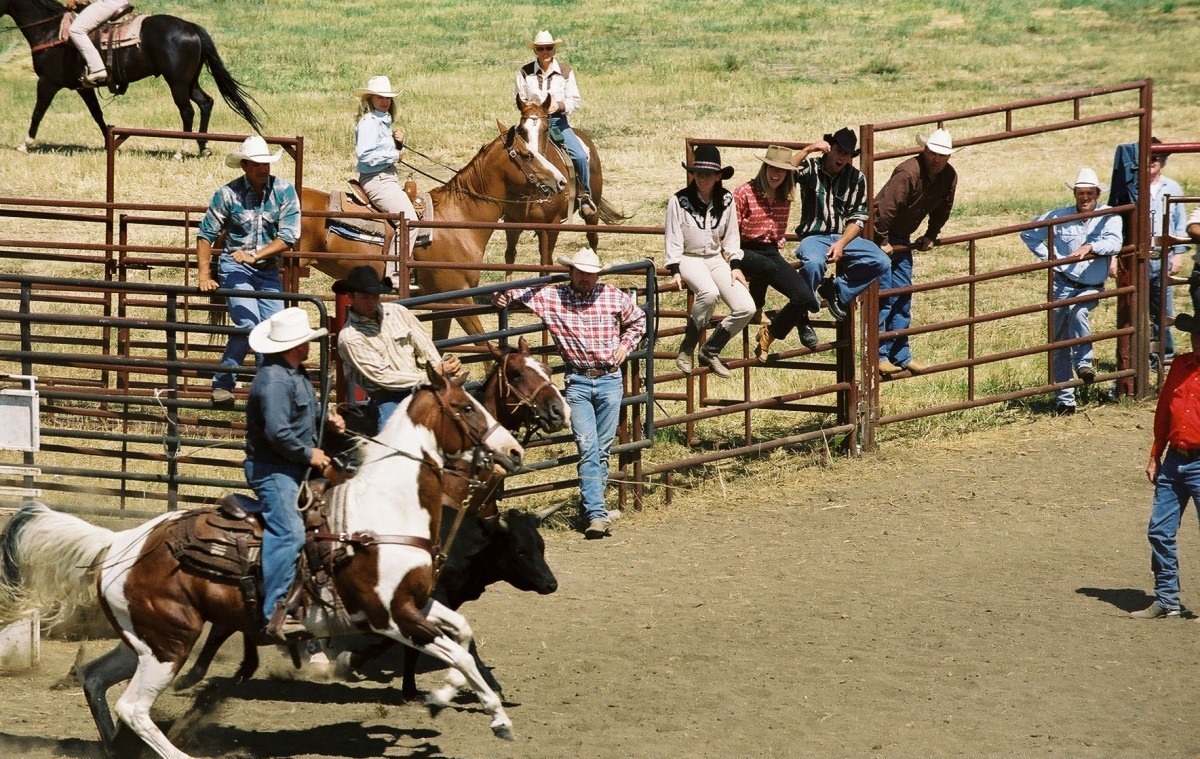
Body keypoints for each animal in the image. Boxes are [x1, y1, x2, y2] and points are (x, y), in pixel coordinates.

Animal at [0, 0, 262, 157]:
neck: (52, 32)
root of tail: (191, 27)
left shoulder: (47, 82)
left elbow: (38, 112)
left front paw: (25, 144)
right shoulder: (83, 87)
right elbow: (97, 114)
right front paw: (109, 144)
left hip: (176, 82)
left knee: (187, 111)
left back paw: (182, 150)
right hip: (190, 81)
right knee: (206, 103)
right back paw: (202, 146)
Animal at [0, 365, 525, 754]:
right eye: (465, 407)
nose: (515, 450)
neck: (382, 511)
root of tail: (122, 542)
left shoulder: (417, 603)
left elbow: (463, 634)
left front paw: (458, 700)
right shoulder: (391, 616)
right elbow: (456, 649)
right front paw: (488, 714)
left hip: (147, 641)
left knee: (95, 678)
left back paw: (114, 746)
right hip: (170, 643)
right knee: (133, 707)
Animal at [295, 116, 566, 341]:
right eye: (527, 155)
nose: (561, 181)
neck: (459, 218)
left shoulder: (441, 303)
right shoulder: (458, 297)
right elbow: (483, 345)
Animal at [501, 97, 628, 270]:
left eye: (546, 129)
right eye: (522, 128)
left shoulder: (551, 226)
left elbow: (546, 262)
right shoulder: (511, 223)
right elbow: (510, 256)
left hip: (592, 210)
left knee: (593, 238)